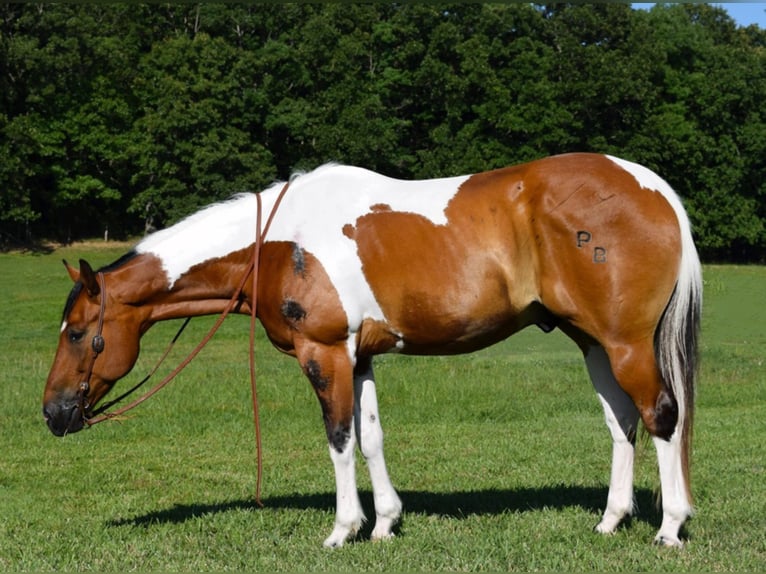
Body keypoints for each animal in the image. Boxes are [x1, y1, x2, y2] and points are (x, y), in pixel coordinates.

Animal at [42, 153, 704, 548]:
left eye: (76, 331)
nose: (52, 413)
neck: (277, 244)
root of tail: (655, 189)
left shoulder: (325, 353)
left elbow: (339, 439)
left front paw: (344, 528)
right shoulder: (358, 359)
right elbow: (372, 438)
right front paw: (385, 524)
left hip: (623, 344)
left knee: (662, 417)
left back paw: (670, 527)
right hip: (593, 342)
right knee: (623, 424)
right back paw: (611, 520)